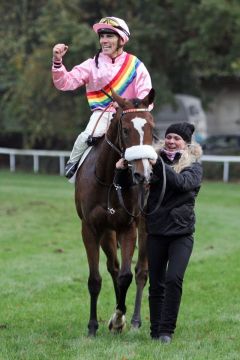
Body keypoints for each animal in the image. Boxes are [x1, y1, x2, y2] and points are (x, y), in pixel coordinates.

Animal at [75, 88, 158, 336]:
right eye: (125, 129)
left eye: (152, 128)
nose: (143, 174)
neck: (108, 180)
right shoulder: (91, 228)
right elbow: (96, 279)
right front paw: (93, 326)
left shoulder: (127, 226)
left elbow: (126, 276)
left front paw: (119, 318)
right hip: (107, 233)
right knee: (112, 267)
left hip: (145, 226)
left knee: (140, 272)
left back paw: (136, 320)